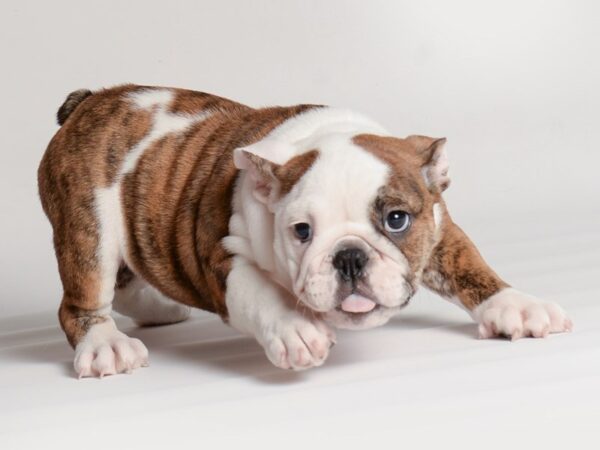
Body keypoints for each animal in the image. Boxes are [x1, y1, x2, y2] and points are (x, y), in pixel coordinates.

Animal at [37, 84, 572, 376]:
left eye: (396, 219)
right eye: (301, 231)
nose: (350, 256)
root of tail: (90, 102)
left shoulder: (438, 225)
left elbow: (472, 268)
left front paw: (516, 306)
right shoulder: (221, 254)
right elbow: (259, 293)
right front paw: (296, 330)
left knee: (128, 280)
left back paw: (159, 309)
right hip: (89, 225)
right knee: (82, 301)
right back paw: (105, 345)